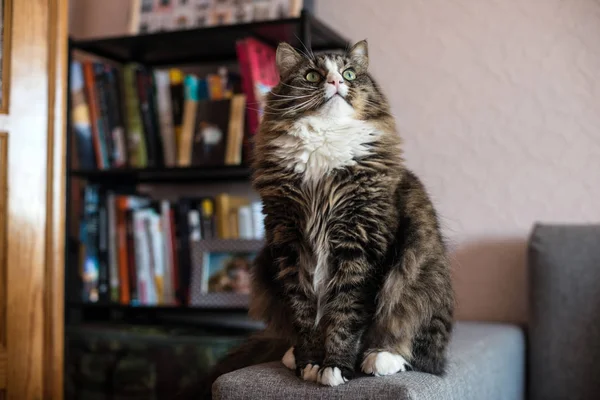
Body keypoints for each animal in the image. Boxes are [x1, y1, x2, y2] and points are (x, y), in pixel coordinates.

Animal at [190, 39, 458, 396]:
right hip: (265, 264)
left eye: (349, 73)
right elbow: (304, 313)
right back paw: (292, 355)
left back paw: (381, 358)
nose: (335, 81)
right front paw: (309, 362)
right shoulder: (288, 242)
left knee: (425, 356)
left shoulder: (361, 243)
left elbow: (346, 314)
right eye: (312, 75)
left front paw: (336, 366)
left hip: (419, 273)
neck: (324, 147)